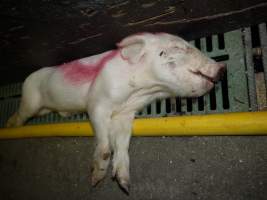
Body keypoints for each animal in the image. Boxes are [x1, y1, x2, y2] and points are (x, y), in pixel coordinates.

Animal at [6, 32, 226, 192]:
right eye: (179, 47)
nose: (222, 67)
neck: (143, 89)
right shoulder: (96, 101)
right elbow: (103, 139)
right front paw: (96, 179)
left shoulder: (125, 114)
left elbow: (122, 143)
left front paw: (125, 184)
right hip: (30, 101)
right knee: (19, 114)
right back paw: (12, 128)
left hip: (43, 109)